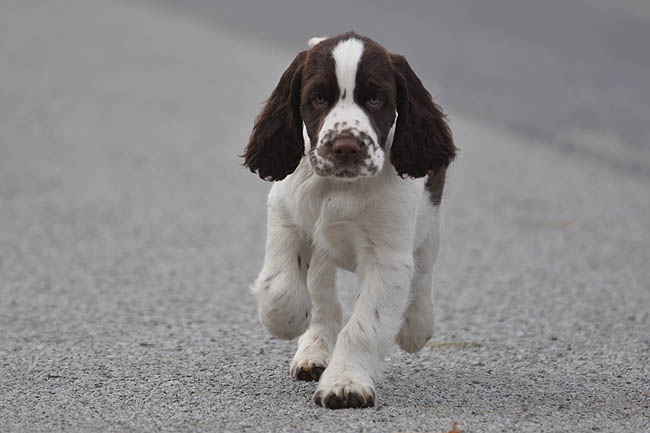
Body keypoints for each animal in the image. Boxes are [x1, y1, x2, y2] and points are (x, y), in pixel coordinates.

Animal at [243, 32, 456, 409]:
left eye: (375, 99)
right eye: (317, 98)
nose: (345, 147)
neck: (339, 186)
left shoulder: (387, 256)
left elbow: (365, 326)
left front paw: (345, 384)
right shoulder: (285, 214)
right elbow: (282, 288)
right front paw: (288, 321)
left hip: (430, 225)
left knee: (423, 276)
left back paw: (416, 326)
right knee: (323, 297)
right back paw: (313, 352)